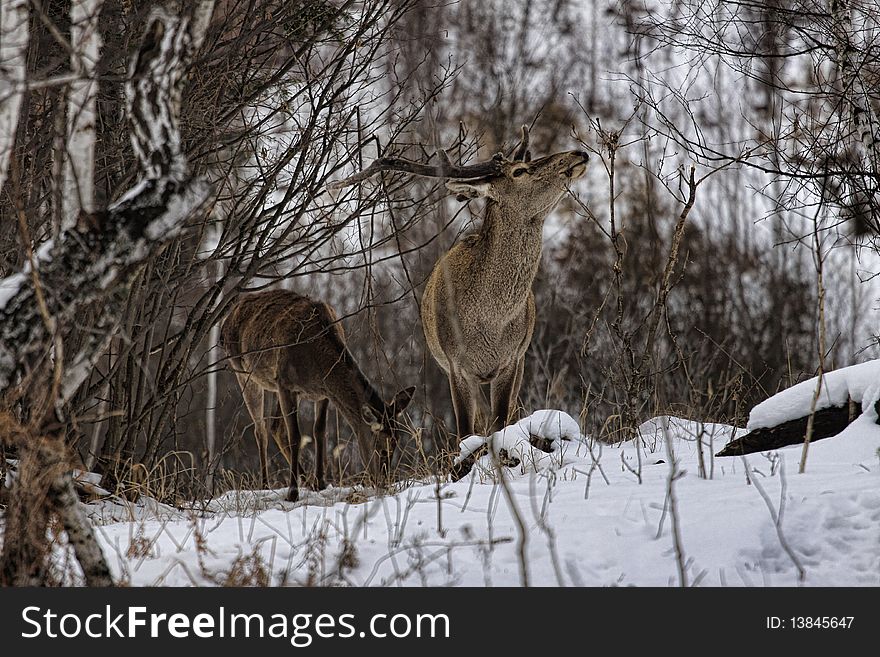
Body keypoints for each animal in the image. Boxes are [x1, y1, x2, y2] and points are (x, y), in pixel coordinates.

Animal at [218, 290, 414, 500]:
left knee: (275, 428)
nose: (384, 483)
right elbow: (296, 436)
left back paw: (307, 480)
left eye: (396, 444)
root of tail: (225, 322)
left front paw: (320, 483)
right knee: (261, 429)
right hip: (243, 372)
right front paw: (292, 492)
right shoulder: (286, 384)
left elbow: (319, 431)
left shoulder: (322, 393)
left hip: (272, 384)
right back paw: (265, 485)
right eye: (381, 448)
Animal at [326, 121, 588, 462]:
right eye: (519, 171)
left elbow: (501, 423)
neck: (489, 322)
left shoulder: (511, 360)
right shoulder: (456, 366)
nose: (578, 153)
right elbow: (465, 433)